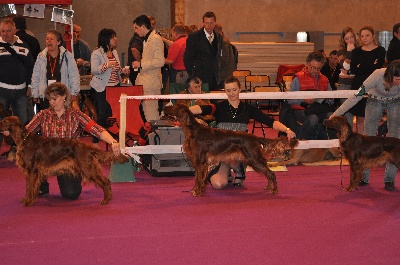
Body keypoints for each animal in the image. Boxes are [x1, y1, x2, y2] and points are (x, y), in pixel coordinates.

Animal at [0, 116, 128, 206]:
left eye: (5, 121)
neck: (24, 140)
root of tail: (86, 146)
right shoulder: (30, 172)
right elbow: (28, 187)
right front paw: (26, 198)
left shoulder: (32, 170)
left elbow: (30, 187)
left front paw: (28, 201)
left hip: (87, 168)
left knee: (105, 181)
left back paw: (106, 199)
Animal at [162, 103, 296, 196]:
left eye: (174, 106)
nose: (163, 107)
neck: (193, 130)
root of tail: (255, 137)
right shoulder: (201, 163)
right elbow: (198, 178)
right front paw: (197, 190)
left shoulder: (200, 162)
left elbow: (198, 179)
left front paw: (197, 192)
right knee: (268, 174)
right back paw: (268, 188)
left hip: (254, 159)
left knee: (271, 173)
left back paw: (274, 191)